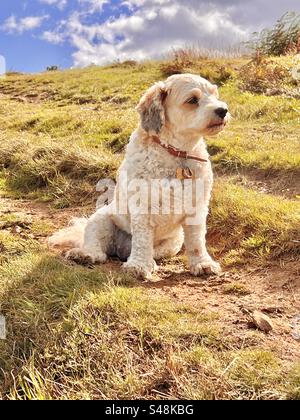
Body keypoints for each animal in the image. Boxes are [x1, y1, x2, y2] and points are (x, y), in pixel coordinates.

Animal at [49, 74, 229, 280]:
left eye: (215, 95)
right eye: (192, 100)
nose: (223, 110)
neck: (177, 154)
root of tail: (122, 250)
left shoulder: (197, 209)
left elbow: (197, 242)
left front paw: (202, 263)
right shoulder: (142, 208)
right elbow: (142, 240)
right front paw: (138, 265)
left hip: (173, 242)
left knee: (155, 252)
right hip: (100, 219)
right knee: (98, 248)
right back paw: (86, 254)